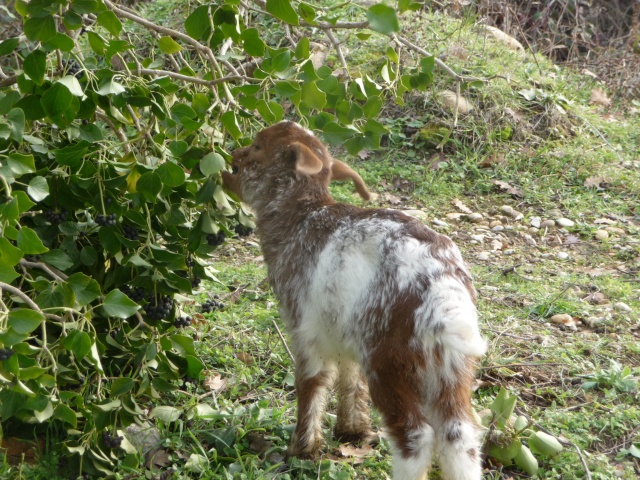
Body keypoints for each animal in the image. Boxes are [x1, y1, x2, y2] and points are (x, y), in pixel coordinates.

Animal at [221, 121, 484, 480]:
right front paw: (351, 430)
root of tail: (443, 287)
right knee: (460, 433)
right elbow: (349, 376)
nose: (232, 156)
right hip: (450, 363)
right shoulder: (342, 327)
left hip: (389, 357)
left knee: (414, 433)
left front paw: (301, 449)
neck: (300, 218)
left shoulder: (305, 329)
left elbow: (311, 383)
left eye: (259, 147)